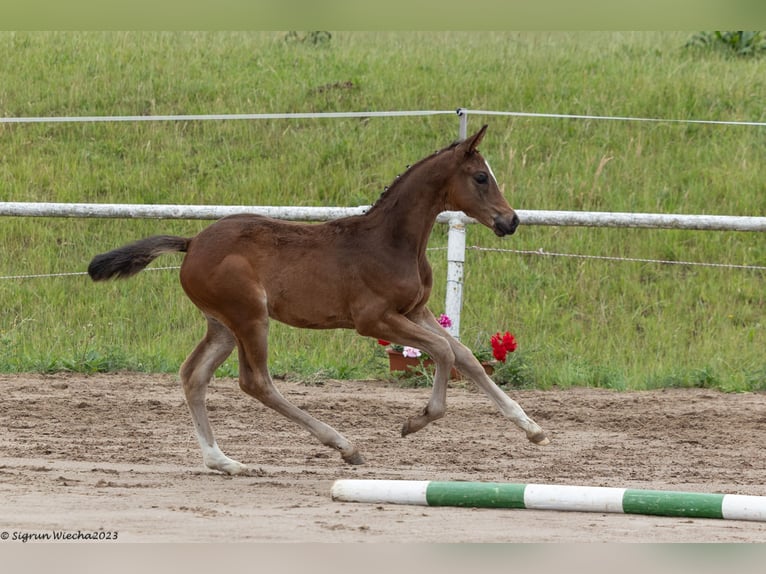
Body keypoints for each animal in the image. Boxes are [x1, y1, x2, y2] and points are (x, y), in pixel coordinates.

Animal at [87, 126, 548, 476]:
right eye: (481, 177)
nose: (511, 221)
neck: (391, 241)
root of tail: (192, 242)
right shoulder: (373, 319)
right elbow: (443, 352)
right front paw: (415, 422)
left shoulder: (414, 310)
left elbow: (466, 356)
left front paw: (532, 428)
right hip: (249, 316)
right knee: (255, 381)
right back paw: (344, 445)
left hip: (222, 325)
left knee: (193, 376)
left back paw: (223, 461)